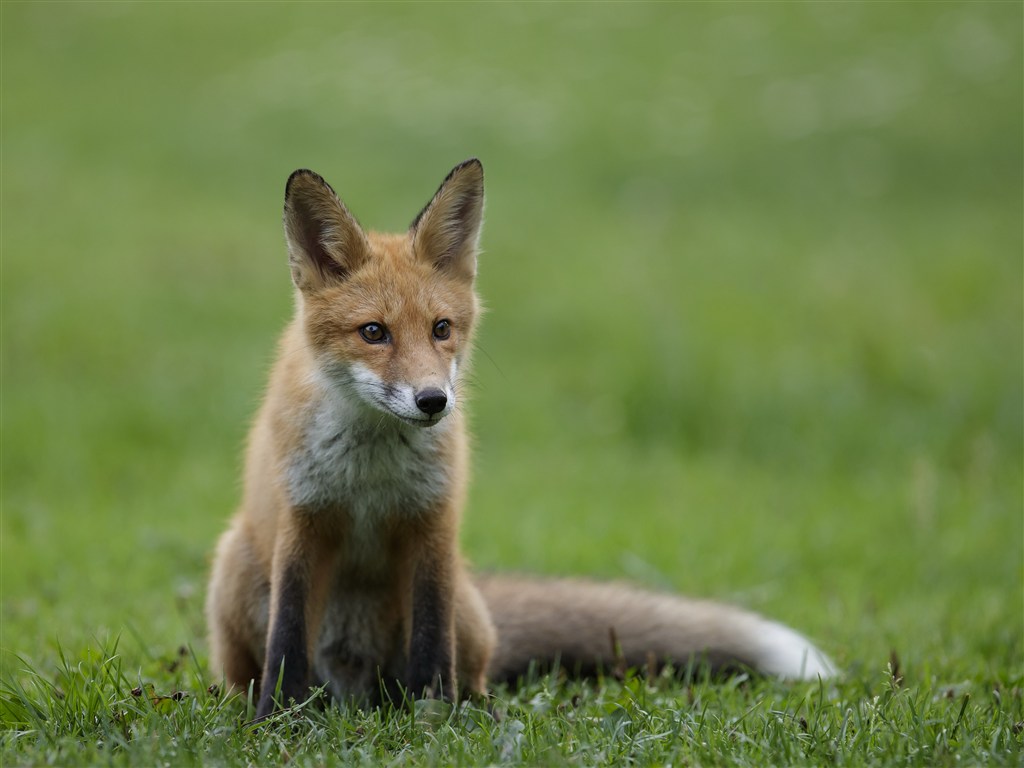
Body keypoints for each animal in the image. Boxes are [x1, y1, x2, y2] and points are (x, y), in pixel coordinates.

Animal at [203, 157, 835, 720]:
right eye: (373, 332)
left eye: (441, 329)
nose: (433, 401)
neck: (371, 472)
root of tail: (354, 690)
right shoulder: (303, 521)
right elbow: (287, 640)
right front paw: (276, 723)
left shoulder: (433, 525)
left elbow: (431, 647)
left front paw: (434, 721)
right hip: (234, 563)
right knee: (253, 671)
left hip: (464, 604)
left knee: (466, 670)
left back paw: (469, 708)